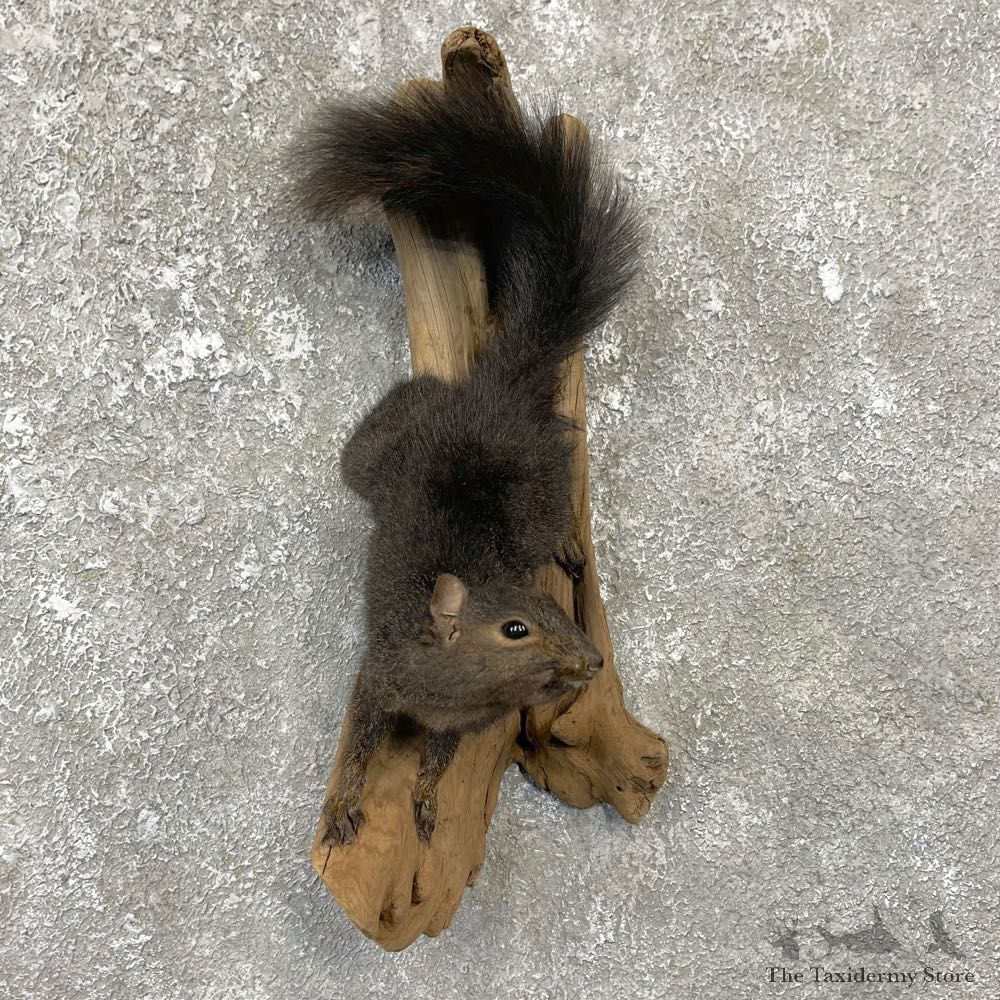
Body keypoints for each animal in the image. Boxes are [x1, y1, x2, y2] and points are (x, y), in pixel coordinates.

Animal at [293, 84, 640, 845]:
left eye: (554, 610)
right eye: (515, 630)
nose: (591, 661)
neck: (458, 680)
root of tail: (494, 398)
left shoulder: (467, 724)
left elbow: (439, 760)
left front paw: (425, 800)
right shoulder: (379, 678)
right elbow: (361, 746)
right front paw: (343, 804)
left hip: (536, 486)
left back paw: (569, 542)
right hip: (375, 452)